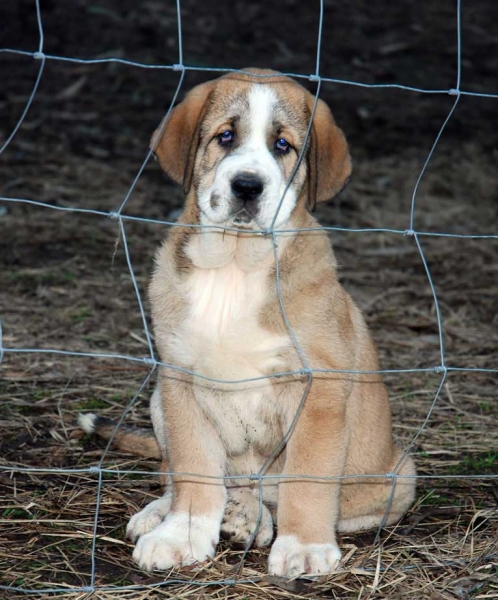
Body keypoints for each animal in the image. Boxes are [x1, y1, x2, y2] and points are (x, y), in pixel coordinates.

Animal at [87, 69, 414, 576]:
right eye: (225, 136)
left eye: (283, 145)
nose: (247, 186)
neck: (235, 268)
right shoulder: (181, 380)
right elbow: (194, 470)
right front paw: (182, 533)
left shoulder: (317, 389)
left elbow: (308, 475)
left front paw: (304, 546)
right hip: (158, 400)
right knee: (187, 475)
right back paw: (182, 513)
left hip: (395, 479)